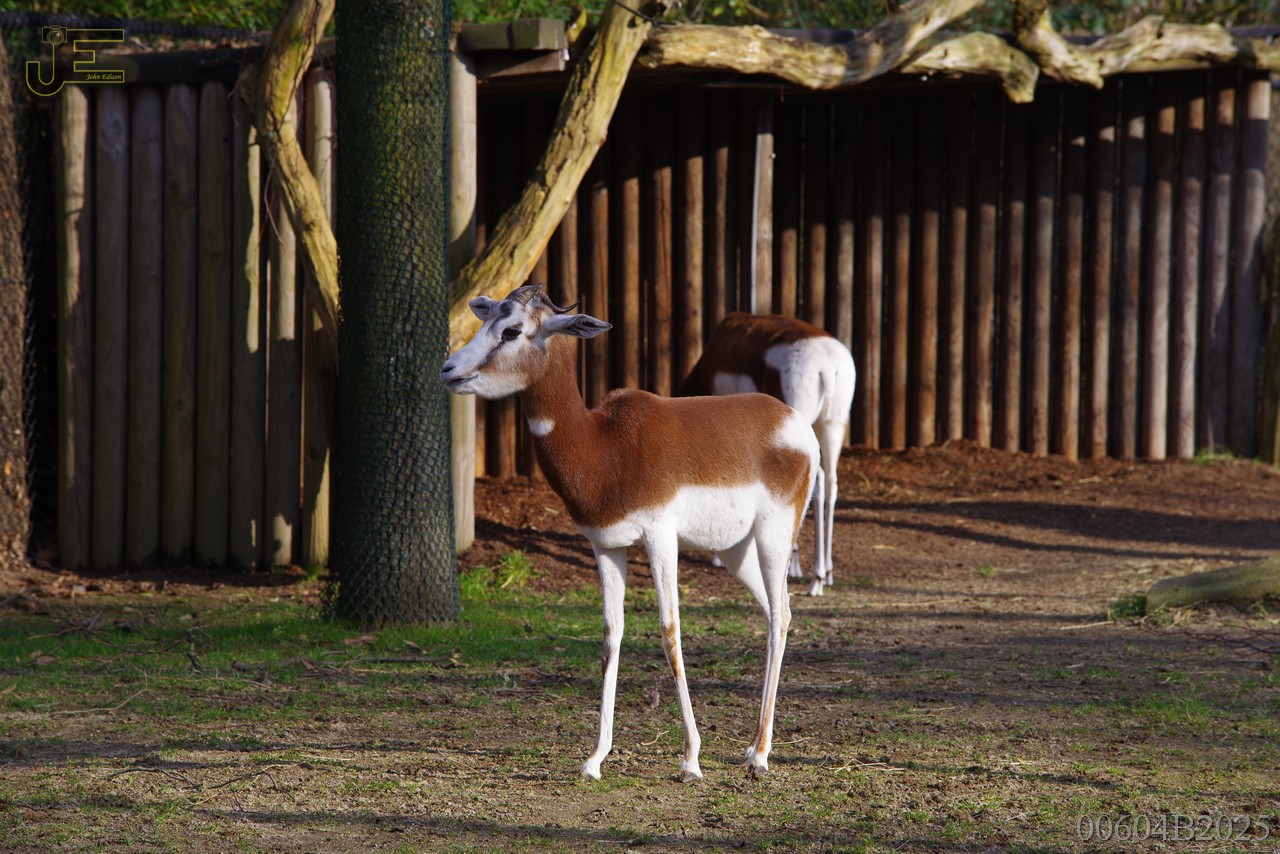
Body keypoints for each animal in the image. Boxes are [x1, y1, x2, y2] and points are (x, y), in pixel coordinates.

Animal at [440, 284, 818, 782]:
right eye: (487, 320)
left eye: (512, 330)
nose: (449, 369)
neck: (605, 446)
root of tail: (795, 423)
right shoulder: (605, 547)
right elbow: (610, 636)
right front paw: (595, 758)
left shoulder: (660, 538)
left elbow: (670, 631)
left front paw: (691, 760)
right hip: (737, 551)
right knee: (775, 614)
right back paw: (752, 747)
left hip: (774, 536)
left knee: (780, 618)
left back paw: (760, 757)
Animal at [678, 312, 856, 597]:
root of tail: (828, 364)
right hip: (832, 426)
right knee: (831, 484)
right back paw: (825, 573)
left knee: (815, 483)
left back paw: (813, 577)